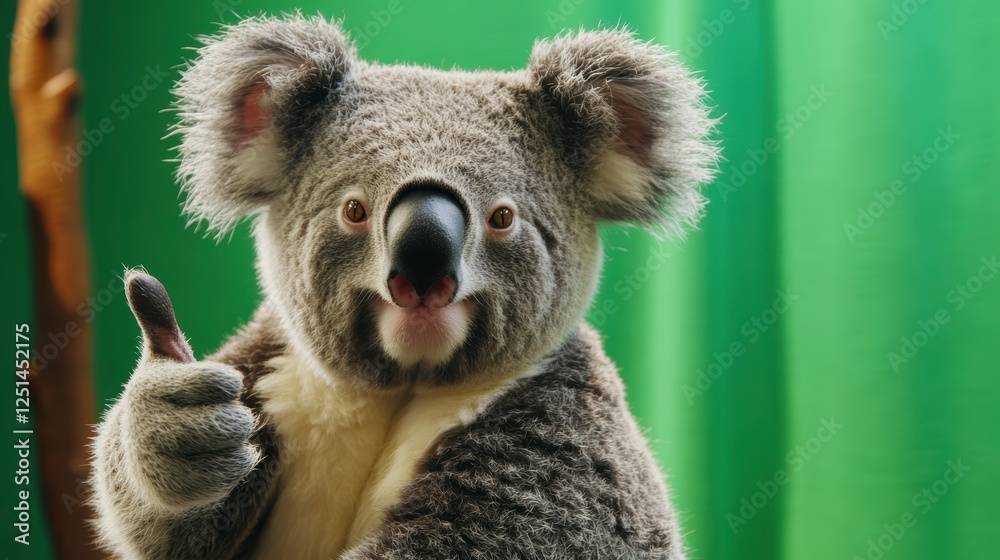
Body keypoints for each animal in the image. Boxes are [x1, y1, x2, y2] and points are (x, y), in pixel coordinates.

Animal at [90, 14, 716, 559]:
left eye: (503, 217)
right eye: (353, 210)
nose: (422, 273)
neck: (403, 384)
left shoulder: (567, 446)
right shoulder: (272, 371)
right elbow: (177, 532)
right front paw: (177, 431)